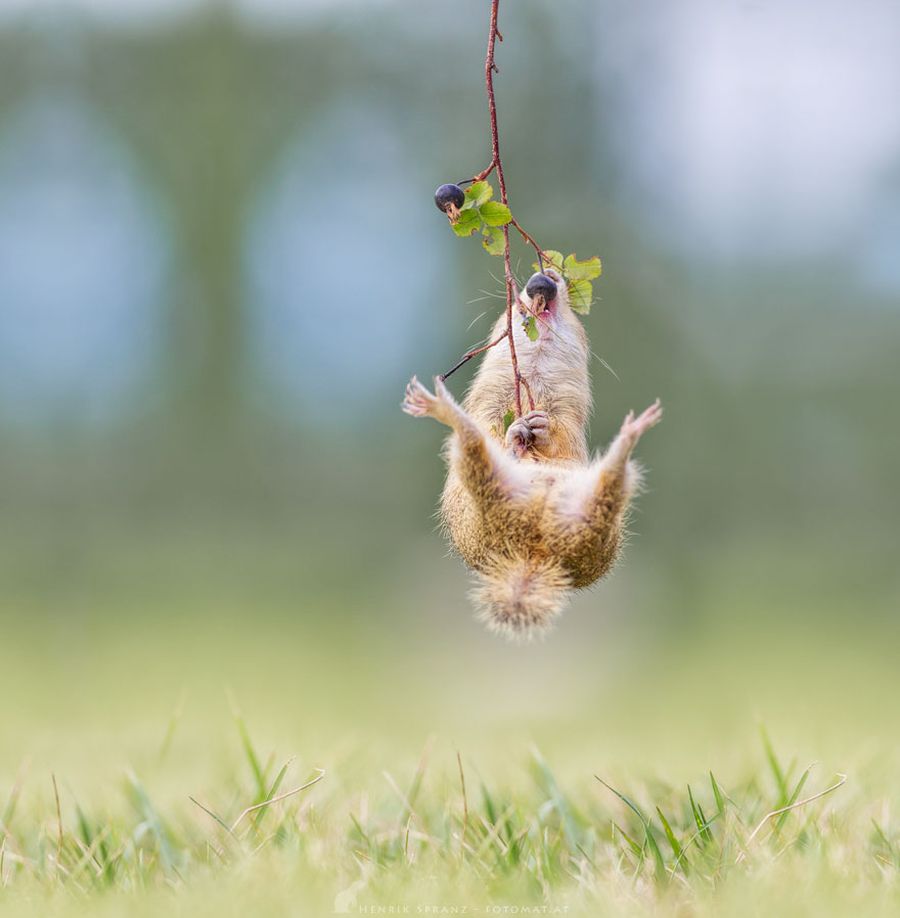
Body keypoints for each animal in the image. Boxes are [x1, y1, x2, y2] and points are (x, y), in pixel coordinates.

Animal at [402, 267, 662, 639]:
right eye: (513, 309)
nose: (543, 280)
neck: (534, 381)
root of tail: (532, 551)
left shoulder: (569, 417)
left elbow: (564, 436)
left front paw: (542, 426)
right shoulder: (488, 406)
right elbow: (491, 428)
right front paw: (517, 431)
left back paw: (632, 430)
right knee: (472, 438)